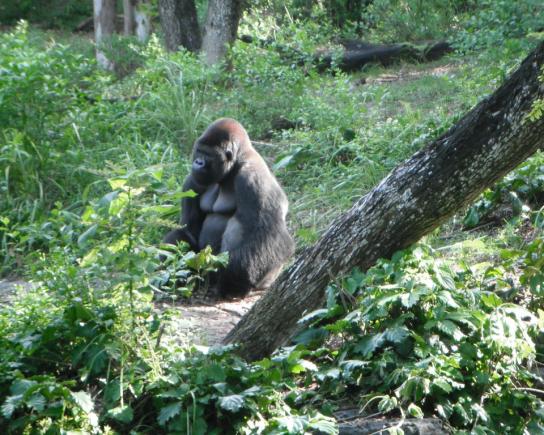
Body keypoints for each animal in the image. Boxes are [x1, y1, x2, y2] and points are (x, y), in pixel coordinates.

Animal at [164, 117, 296, 298]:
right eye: (199, 151)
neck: (236, 163)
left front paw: (233, 280)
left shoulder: (252, 179)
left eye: (208, 155)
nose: (198, 162)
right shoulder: (192, 181)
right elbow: (188, 229)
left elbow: (269, 234)